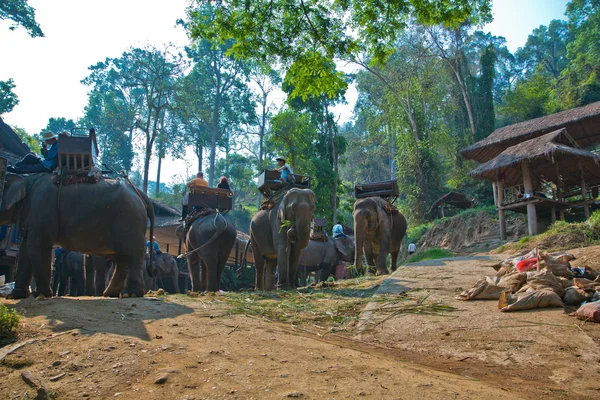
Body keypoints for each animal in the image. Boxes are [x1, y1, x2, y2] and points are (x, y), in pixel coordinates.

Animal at [0, 173, 155, 298]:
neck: (27, 179)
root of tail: (138, 191)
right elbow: (24, 250)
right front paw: (15, 296)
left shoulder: (41, 210)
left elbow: (36, 246)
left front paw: (41, 295)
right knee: (122, 259)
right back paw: (110, 294)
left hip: (129, 220)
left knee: (132, 254)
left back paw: (131, 294)